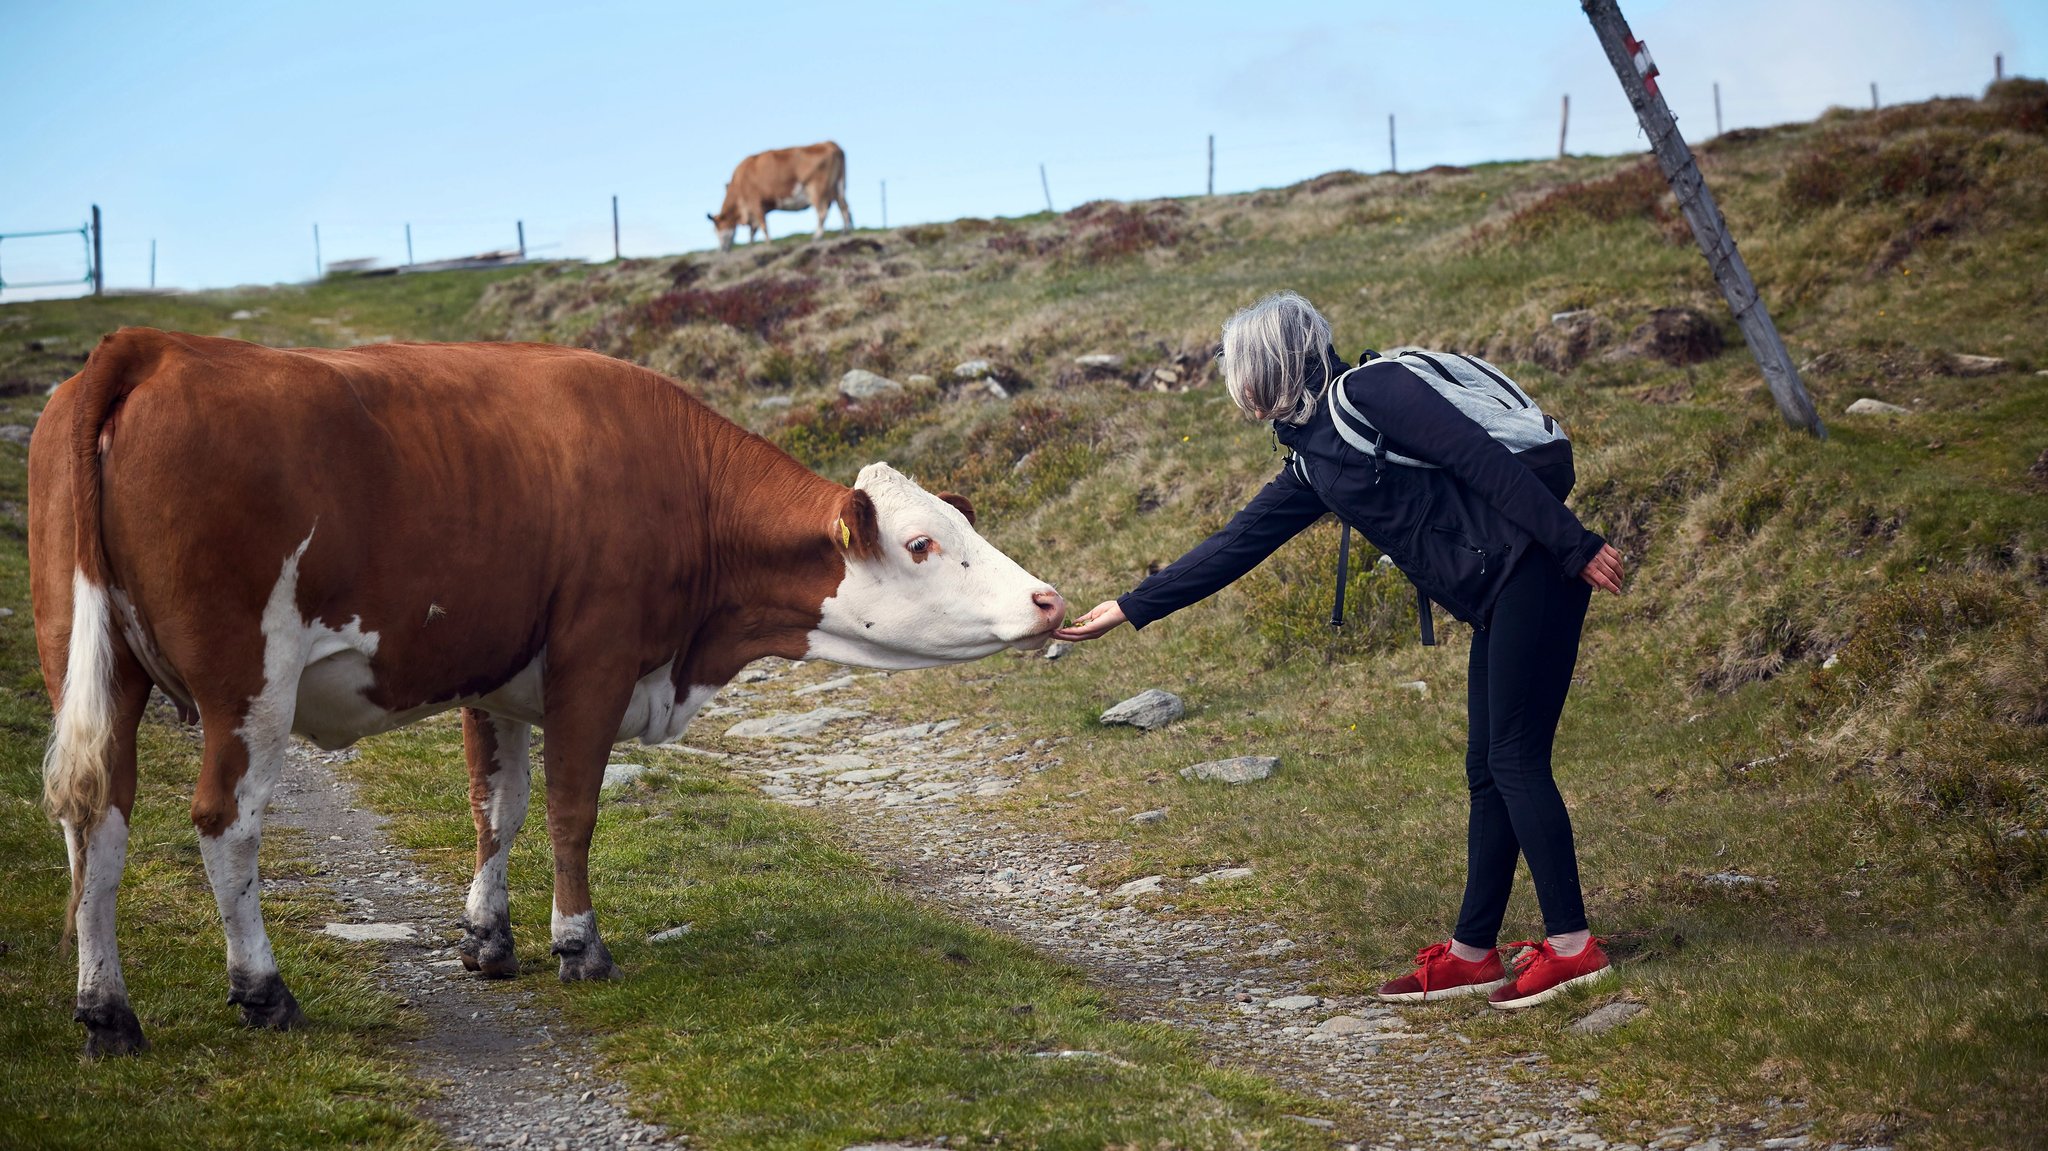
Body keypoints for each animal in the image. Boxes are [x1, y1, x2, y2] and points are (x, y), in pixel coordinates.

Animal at [32, 327, 1064, 1056]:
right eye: (923, 543)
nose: (1048, 599)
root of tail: (153, 346)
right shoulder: (594, 662)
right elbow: (572, 809)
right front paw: (579, 945)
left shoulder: (495, 676)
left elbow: (499, 807)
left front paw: (488, 940)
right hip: (247, 683)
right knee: (225, 822)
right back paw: (262, 990)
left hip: (92, 663)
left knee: (97, 821)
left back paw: (108, 1012)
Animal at [712, 139, 856, 250]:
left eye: (716, 229)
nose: (722, 249)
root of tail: (831, 144)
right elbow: (753, 230)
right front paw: (750, 245)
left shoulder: (755, 202)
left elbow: (762, 226)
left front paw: (768, 243)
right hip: (838, 186)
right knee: (844, 207)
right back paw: (846, 232)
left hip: (816, 189)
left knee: (823, 212)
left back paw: (817, 236)